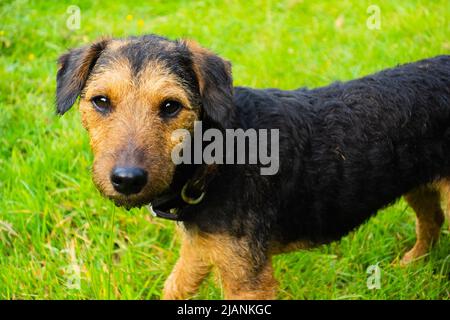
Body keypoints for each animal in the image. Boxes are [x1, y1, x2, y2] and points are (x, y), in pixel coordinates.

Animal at [56, 35, 450, 300]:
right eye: (101, 101)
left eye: (170, 106)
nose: (127, 180)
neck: (215, 157)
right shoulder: (201, 246)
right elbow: (175, 286)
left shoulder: (248, 279)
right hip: (420, 184)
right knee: (431, 221)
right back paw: (411, 264)